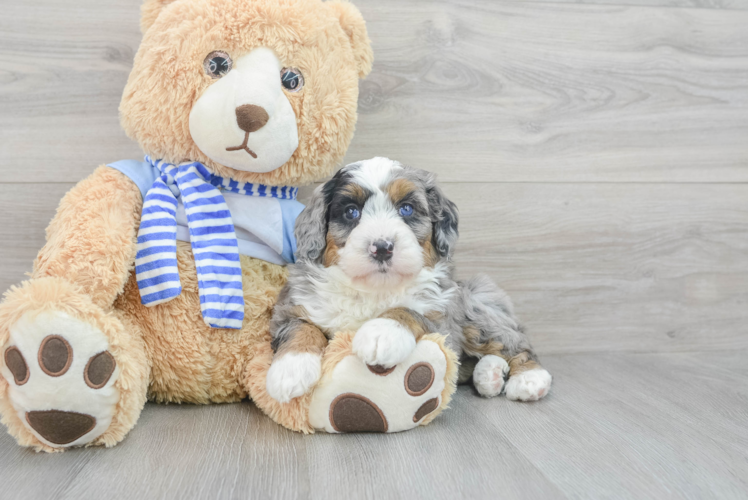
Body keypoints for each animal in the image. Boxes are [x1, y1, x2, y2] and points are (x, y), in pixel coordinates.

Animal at [262, 158, 548, 404]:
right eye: (351, 212)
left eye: (406, 209)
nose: (382, 247)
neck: (373, 289)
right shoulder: (291, 307)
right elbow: (301, 328)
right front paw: (290, 370)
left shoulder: (443, 319)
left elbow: (408, 310)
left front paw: (381, 333)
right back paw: (489, 375)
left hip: (474, 306)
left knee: (515, 342)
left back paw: (529, 379)